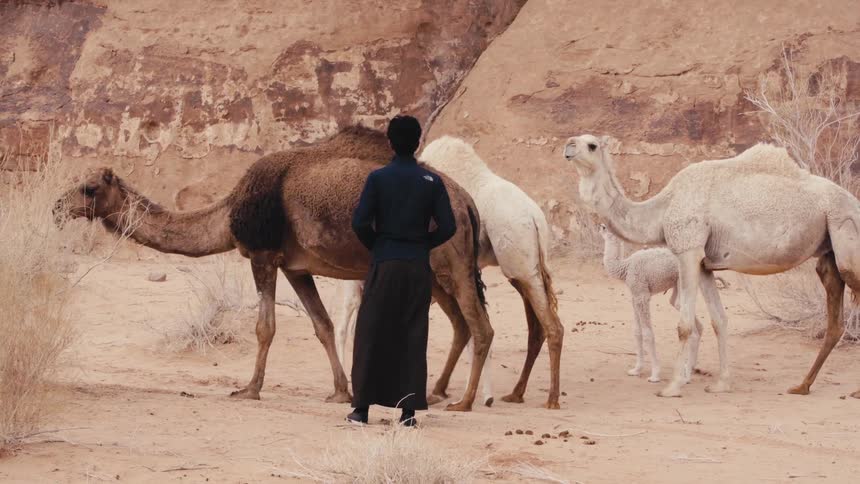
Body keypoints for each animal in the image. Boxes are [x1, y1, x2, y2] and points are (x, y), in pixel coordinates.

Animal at [55, 126, 494, 411]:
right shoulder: (296, 267)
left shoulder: (262, 254)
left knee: (480, 326)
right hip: (436, 274)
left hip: (453, 264)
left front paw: (249, 389)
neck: (228, 214)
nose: (58, 206)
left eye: (89, 188)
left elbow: (264, 327)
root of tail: (467, 202)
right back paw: (437, 392)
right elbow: (322, 325)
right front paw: (342, 392)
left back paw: (465, 401)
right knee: (460, 324)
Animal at [334, 136, 563, 409]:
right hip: (526, 268)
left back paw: (548, 398)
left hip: (517, 263)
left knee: (547, 326)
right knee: (538, 328)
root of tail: (535, 219)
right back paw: (516, 393)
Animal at [564, 134, 860, 398]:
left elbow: (684, 325)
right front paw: (721, 383)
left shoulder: (688, 249)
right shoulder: (705, 263)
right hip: (829, 253)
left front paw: (672, 387)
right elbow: (719, 320)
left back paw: (851, 392)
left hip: (846, 233)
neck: (663, 208)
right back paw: (802, 386)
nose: (568, 146)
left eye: (591, 145)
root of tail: (853, 202)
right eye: (575, 139)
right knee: (834, 318)